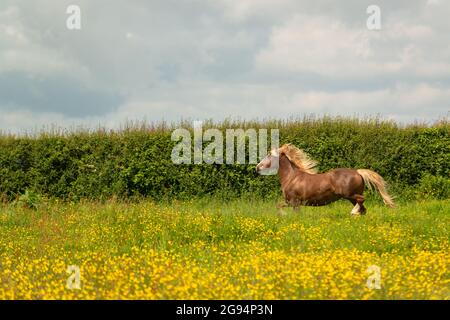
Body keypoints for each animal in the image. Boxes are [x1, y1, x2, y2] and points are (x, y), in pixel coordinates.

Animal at [255, 144, 396, 215]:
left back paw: (353, 212)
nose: (257, 168)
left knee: (362, 200)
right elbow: (279, 205)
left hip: (349, 195)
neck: (291, 177)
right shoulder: (290, 202)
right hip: (351, 197)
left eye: (269, 155)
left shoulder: (294, 202)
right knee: (363, 209)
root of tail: (357, 172)